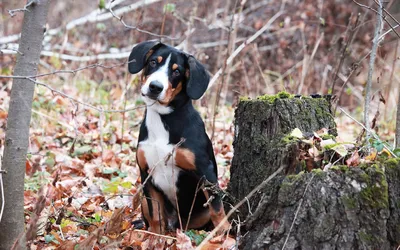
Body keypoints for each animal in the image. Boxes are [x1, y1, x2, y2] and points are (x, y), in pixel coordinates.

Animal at [128, 41, 228, 234]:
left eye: (176, 72)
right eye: (153, 62)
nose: (155, 87)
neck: (163, 118)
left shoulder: (206, 172)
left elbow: (217, 210)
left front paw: (223, 235)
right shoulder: (146, 173)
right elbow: (155, 216)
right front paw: (155, 238)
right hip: (143, 198)